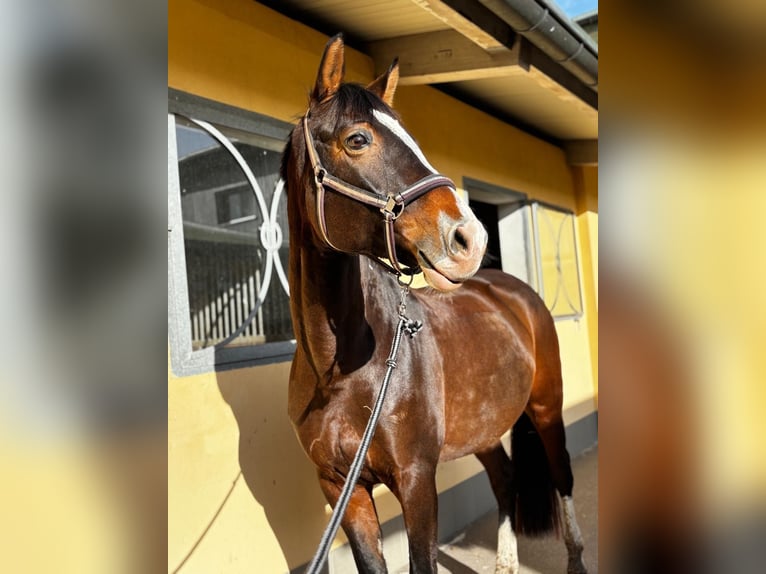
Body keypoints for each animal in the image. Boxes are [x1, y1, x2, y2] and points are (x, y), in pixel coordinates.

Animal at [282, 35, 587, 574]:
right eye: (357, 139)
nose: (470, 237)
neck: (339, 371)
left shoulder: (417, 480)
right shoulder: (342, 488)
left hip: (547, 405)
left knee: (562, 474)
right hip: (484, 428)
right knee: (505, 478)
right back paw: (505, 561)